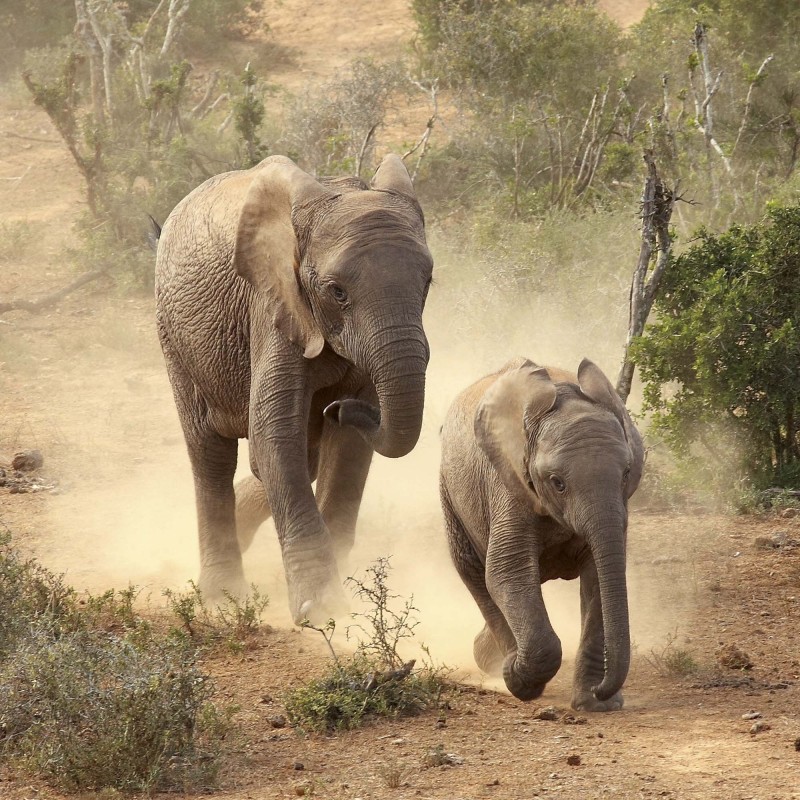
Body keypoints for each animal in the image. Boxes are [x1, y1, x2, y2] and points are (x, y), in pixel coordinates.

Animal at [155, 153, 432, 620]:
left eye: (428, 282)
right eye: (336, 292)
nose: (338, 408)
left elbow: (347, 453)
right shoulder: (273, 304)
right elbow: (275, 437)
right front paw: (320, 611)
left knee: (304, 455)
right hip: (175, 339)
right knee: (211, 454)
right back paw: (222, 598)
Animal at [438, 360, 644, 708]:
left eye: (627, 473)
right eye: (557, 482)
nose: (604, 689)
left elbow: (598, 577)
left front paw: (595, 704)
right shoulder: (508, 483)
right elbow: (506, 571)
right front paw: (518, 681)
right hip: (449, 493)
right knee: (474, 575)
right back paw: (504, 665)